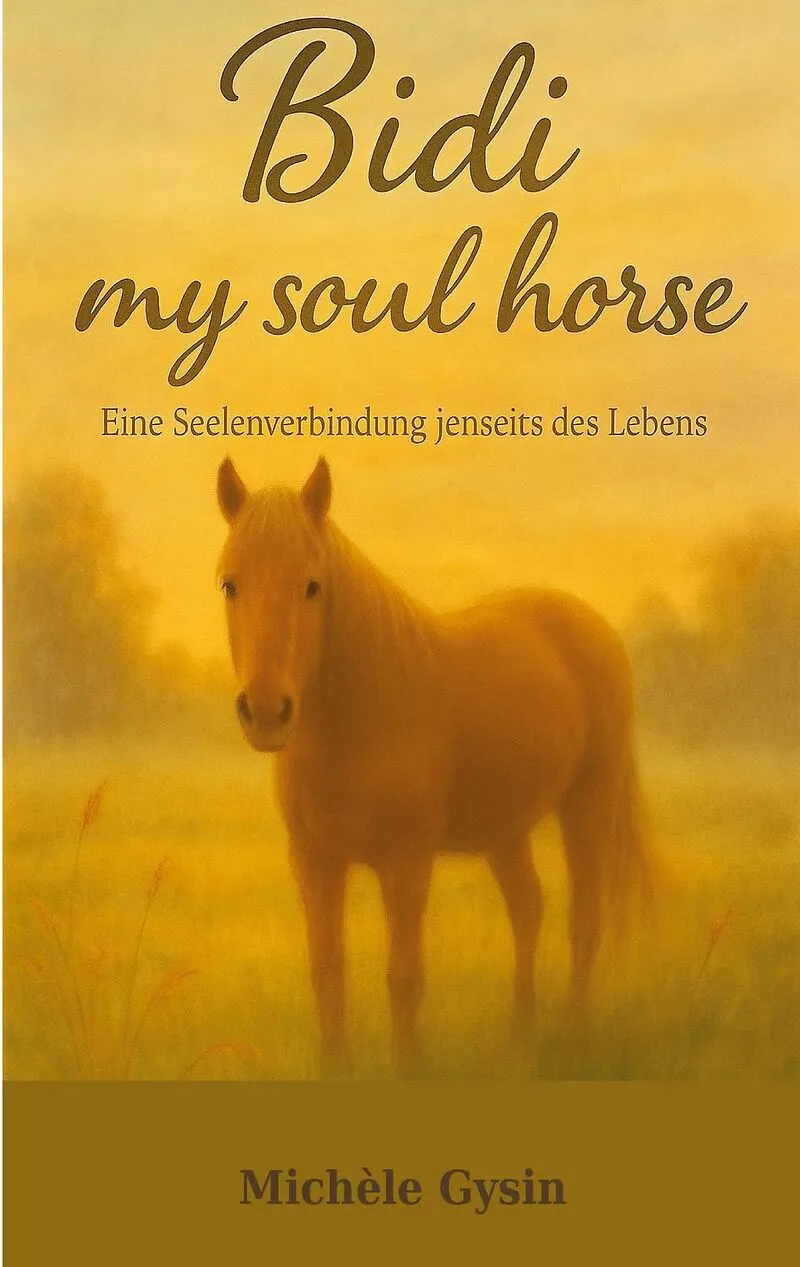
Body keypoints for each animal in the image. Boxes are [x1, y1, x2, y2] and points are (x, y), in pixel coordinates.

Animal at [216, 456, 650, 1072]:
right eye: (231, 584)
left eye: (312, 586)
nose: (267, 712)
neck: (357, 723)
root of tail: (588, 622)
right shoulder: (315, 861)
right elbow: (328, 973)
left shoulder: (406, 862)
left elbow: (404, 978)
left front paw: (408, 1066)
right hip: (506, 828)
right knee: (528, 907)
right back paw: (522, 1031)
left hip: (588, 802)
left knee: (584, 920)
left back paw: (574, 1033)